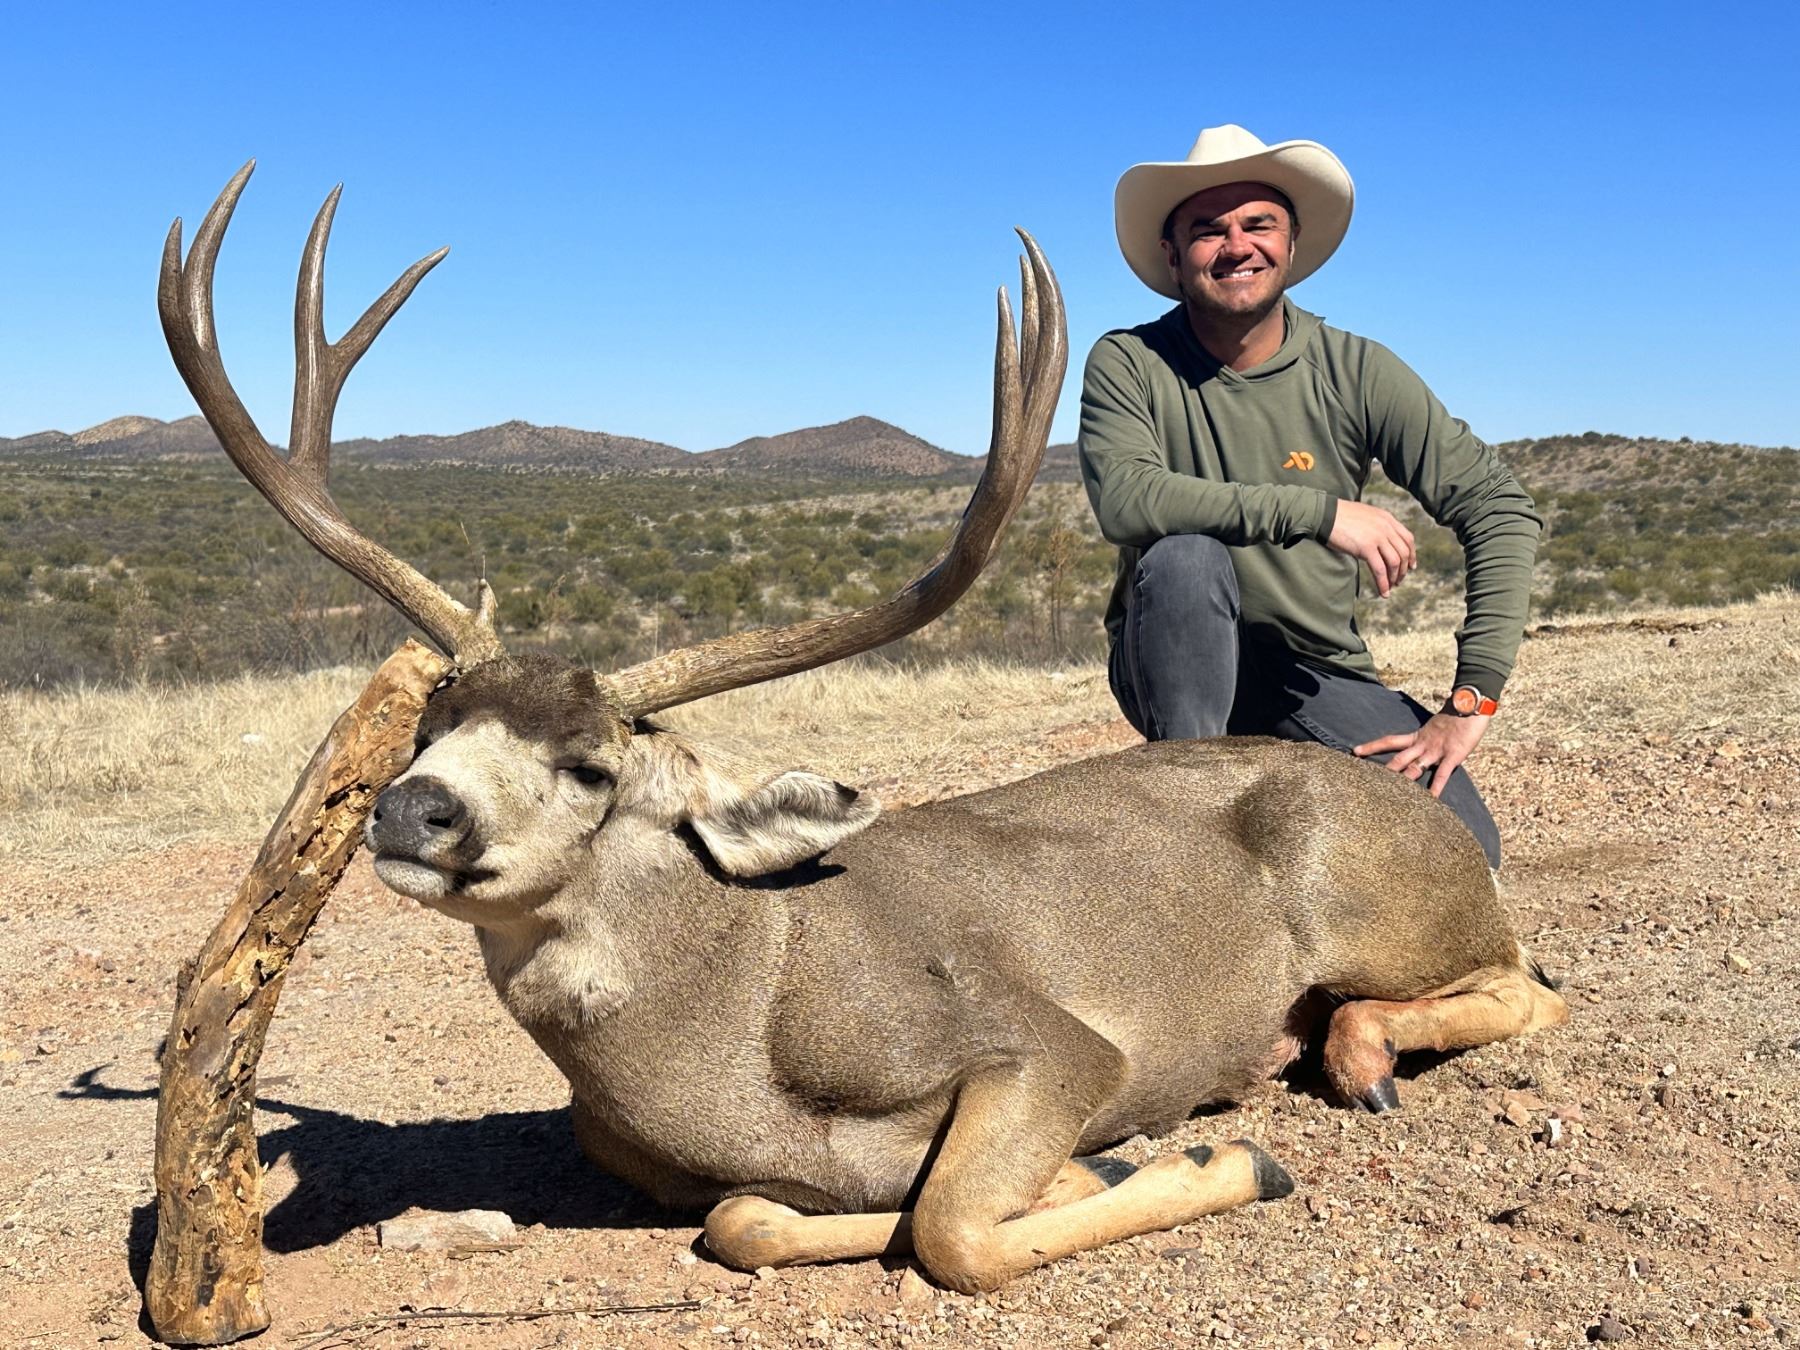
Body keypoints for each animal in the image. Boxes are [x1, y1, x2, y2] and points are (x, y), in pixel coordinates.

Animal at [158, 163, 1567, 1296]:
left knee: (1525, 982)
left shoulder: (1055, 1042)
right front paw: (1092, 1171)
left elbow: (950, 1228)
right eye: (429, 724)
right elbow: (748, 1221)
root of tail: (1414, 792)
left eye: (592, 767)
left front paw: (1202, 1161)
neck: (735, 1039)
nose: (414, 808)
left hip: (1376, 896)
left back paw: (1349, 1051)